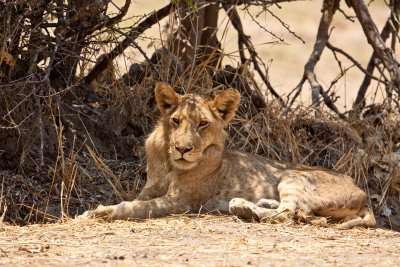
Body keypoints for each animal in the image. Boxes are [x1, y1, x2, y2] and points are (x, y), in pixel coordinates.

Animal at [79, 82, 378, 229]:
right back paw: (253, 204)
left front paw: (99, 212)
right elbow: (135, 200)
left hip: (292, 174)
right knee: (298, 212)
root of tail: (361, 192)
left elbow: (135, 208)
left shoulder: (182, 201)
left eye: (202, 123)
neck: (169, 162)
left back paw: (243, 207)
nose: (183, 149)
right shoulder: (149, 189)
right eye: (176, 121)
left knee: (290, 213)